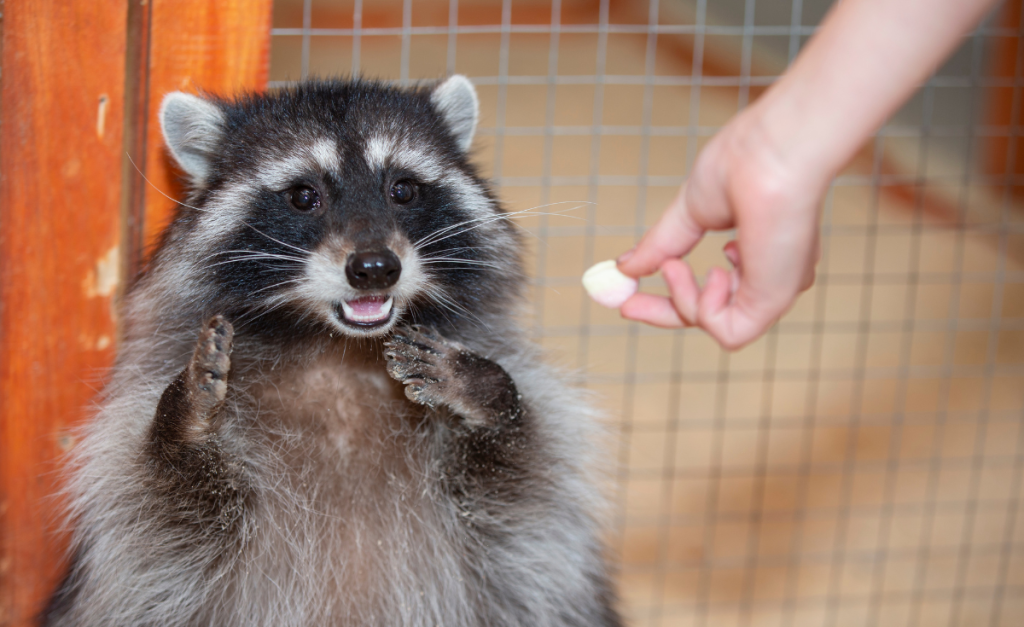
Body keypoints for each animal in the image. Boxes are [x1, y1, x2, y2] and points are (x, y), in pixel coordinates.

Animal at [44, 76, 622, 627]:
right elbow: (158, 516)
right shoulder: (148, 521)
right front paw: (181, 426)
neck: (339, 349)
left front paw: (488, 394)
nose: (375, 268)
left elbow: (523, 495)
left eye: (403, 189)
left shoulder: (521, 537)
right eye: (304, 196)